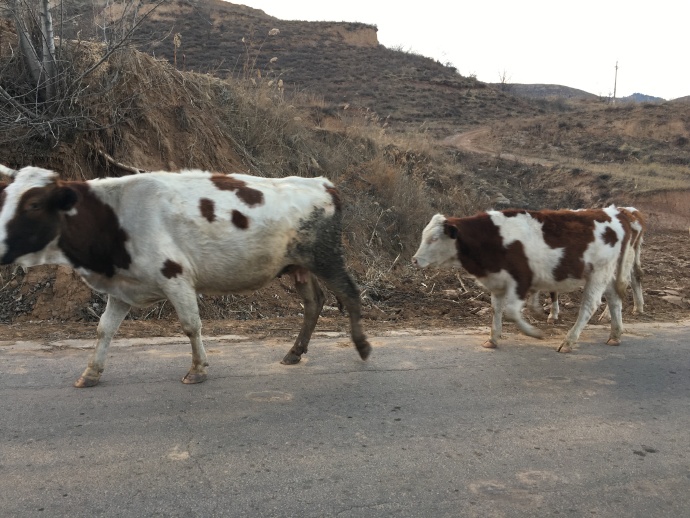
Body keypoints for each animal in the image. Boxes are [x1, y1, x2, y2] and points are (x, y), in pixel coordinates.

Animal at [0, 165, 370, 388]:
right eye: (4, 198)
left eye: (33, 204)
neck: (113, 216)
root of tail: (322, 184)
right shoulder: (121, 288)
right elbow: (104, 330)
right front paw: (91, 372)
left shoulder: (175, 277)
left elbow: (191, 325)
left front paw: (198, 369)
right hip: (299, 266)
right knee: (315, 302)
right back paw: (295, 351)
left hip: (326, 257)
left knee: (350, 294)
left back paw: (363, 347)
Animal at [412, 207, 636, 354]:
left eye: (434, 239)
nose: (415, 260)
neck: (493, 238)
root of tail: (614, 213)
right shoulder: (497, 281)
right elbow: (497, 309)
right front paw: (493, 338)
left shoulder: (521, 279)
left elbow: (511, 312)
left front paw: (533, 332)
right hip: (607, 276)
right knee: (614, 299)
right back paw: (615, 335)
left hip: (599, 273)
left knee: (590, 306)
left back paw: (569, 341)